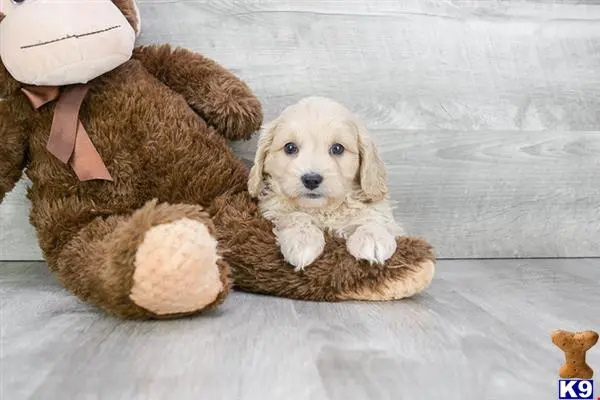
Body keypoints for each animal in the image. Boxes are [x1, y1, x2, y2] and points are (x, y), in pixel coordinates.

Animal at [248, 97, 404, 272]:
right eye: (290, 147)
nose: (311, 179)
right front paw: (302, 240)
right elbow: (294, 215)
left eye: (337, 148)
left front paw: (372, 236)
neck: (323, 209)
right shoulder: (272, 208)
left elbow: (375, 213)